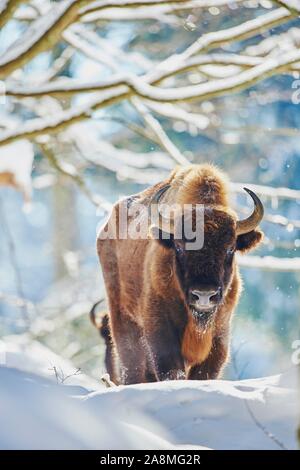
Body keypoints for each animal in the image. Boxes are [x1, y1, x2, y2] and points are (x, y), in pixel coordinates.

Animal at [95, 163, 264, 384]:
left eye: (230, 249)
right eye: (179, 247)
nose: (204, 295)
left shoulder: (219, 337)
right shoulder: (161, 332)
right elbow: (171, 371)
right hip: (122, 316)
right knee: (132, 364)